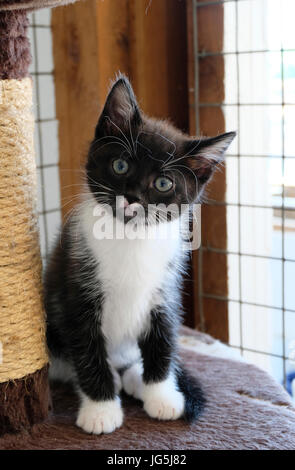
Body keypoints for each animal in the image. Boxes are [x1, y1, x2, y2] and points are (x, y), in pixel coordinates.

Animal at [45, 75, 237, 436]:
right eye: (120, 165)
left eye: (163, 183)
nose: (132, 197)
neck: (131, 238)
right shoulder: (77, 291)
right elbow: (88, 352)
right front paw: (101, 409)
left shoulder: (165, 289)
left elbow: (162, 341)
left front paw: (161, 395)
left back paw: (136, 378)